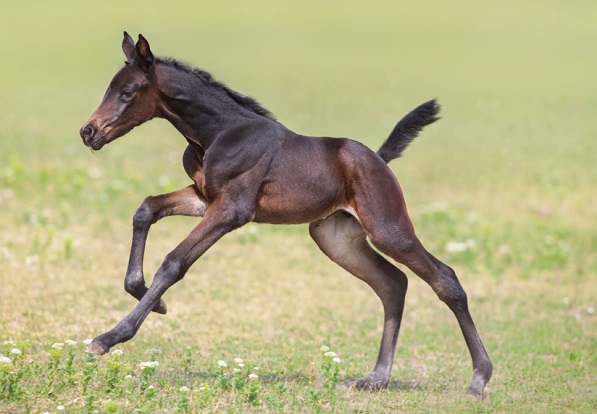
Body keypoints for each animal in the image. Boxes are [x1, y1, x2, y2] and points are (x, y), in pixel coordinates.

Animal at [79, 31, 492, 394]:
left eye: (127, 92)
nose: (88, 132)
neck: (216, 134)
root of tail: (379, 159)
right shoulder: (203, 198)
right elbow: (146, 209)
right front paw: (148, 295)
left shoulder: (231, 210)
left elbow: (174, 262)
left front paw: (108, 337)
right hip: (335, 238)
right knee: (393, 284)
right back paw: (376, 378)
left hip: (388, 227)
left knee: (445, 279)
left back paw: (478, 378)